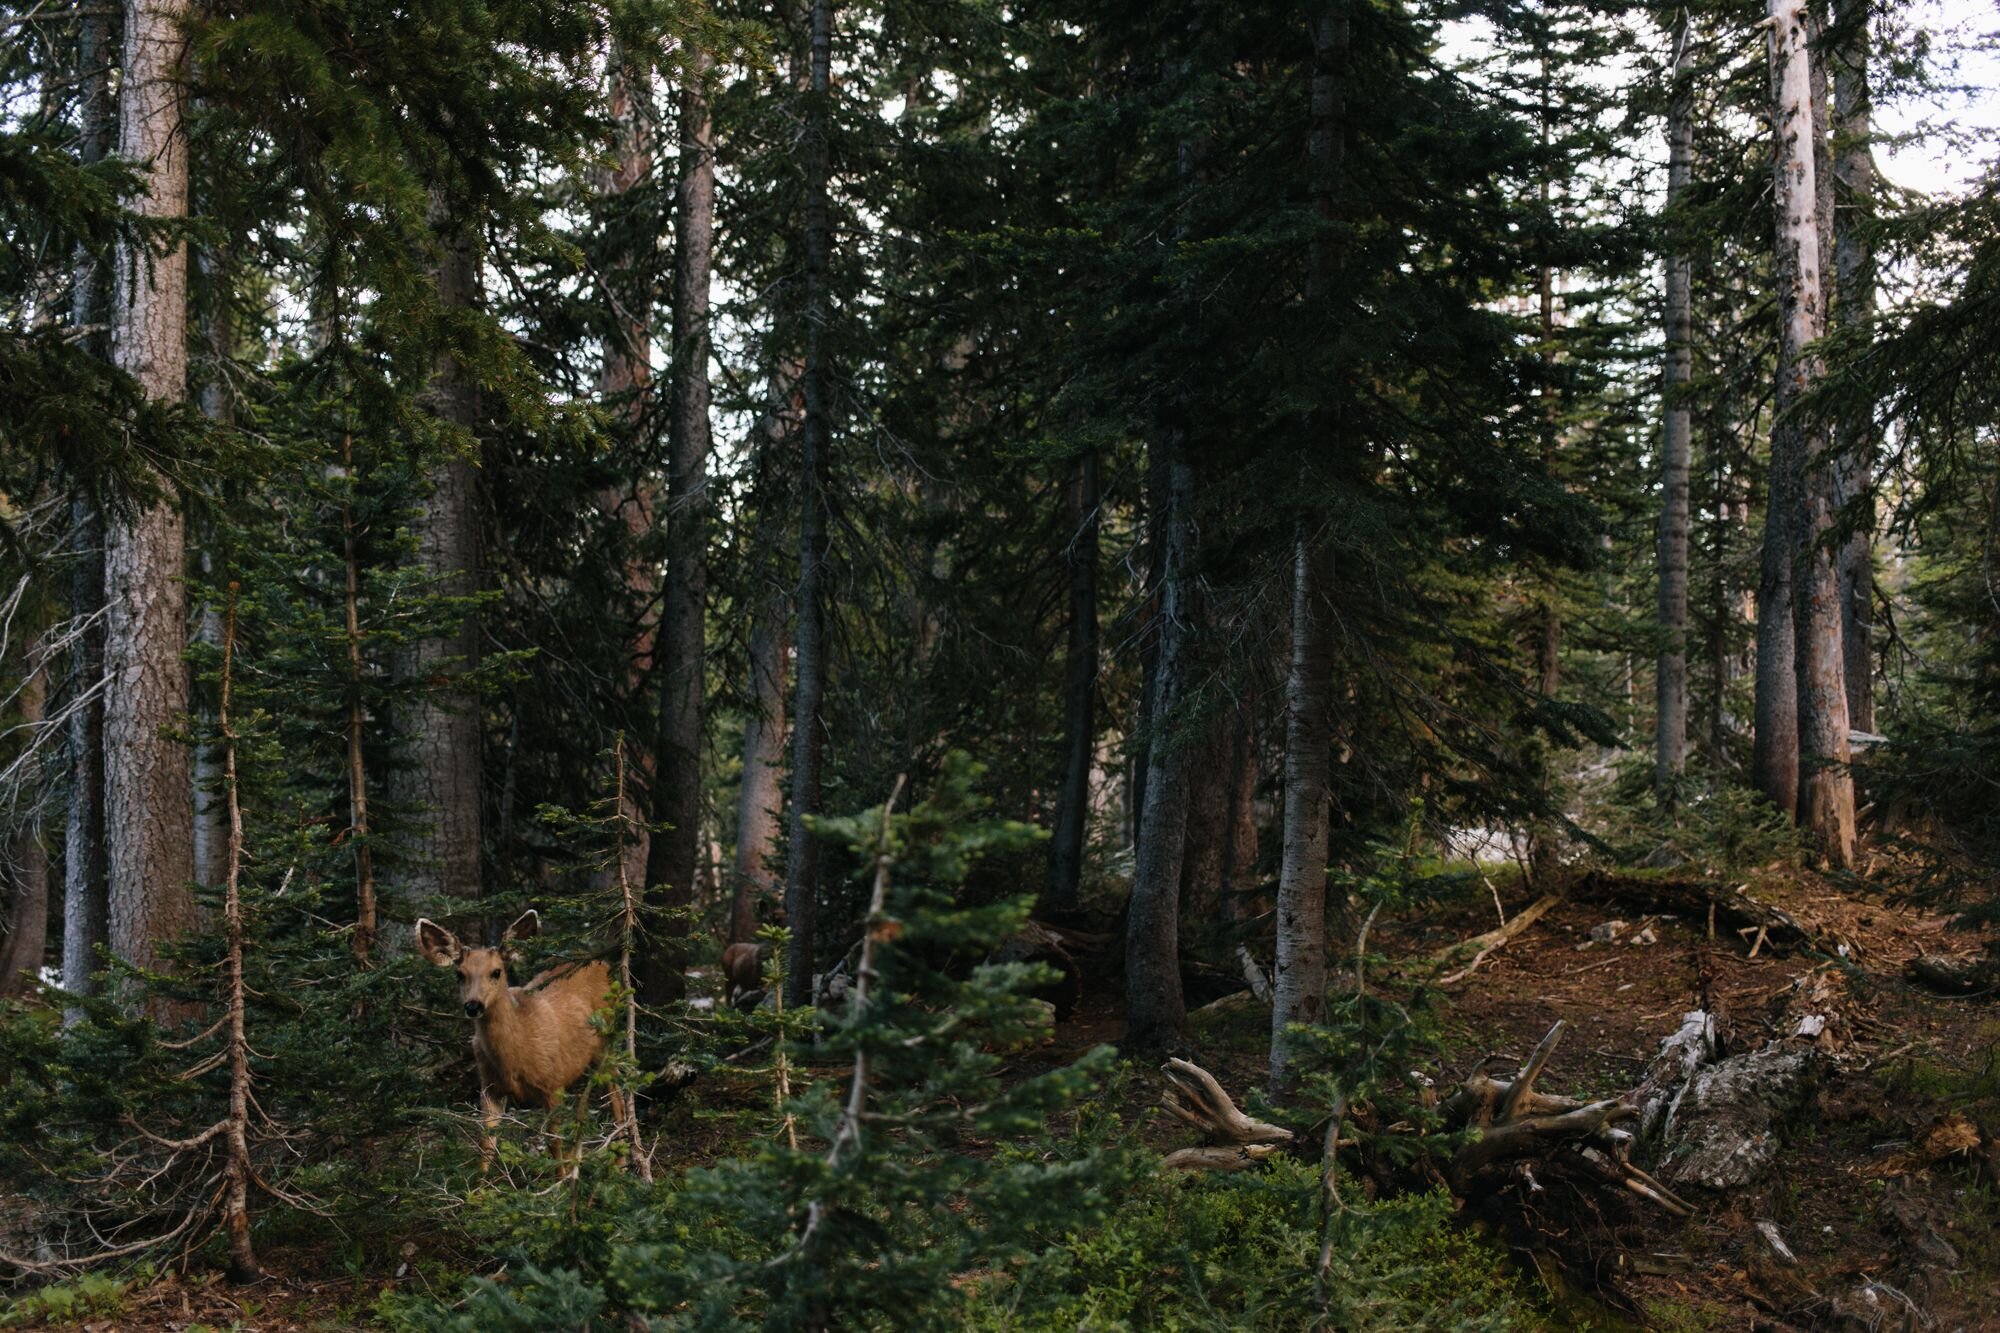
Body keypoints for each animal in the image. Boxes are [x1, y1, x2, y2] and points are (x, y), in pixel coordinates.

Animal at [416, 910, 627, 1168]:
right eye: (459, 974)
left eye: (496, 971)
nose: (473, 1006)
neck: (514, 1058)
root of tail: (602, 964)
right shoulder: (489, 1087)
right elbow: (486, 1145)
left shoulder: (552, 1084)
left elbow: (554, 1145)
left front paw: (561, 1176)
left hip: (607, 1039)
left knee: (617, 1094)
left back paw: (621, 1162)